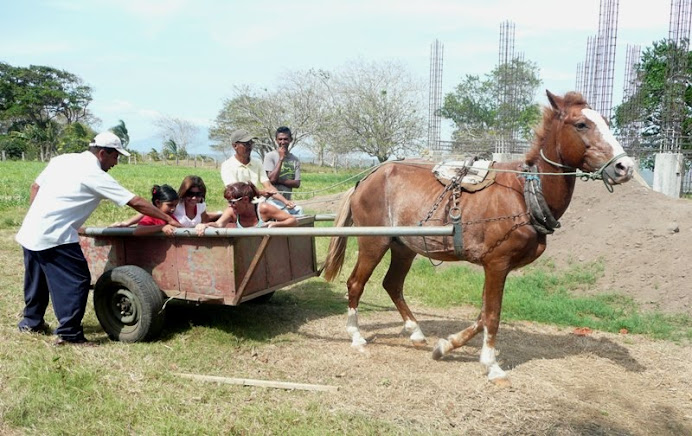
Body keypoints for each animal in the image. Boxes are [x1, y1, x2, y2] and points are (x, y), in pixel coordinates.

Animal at [322, 91, 636, 384]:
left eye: (606, 122)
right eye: (581, 124)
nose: (626, 167)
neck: (525, 194)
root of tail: (366, 179)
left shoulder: (494, 267)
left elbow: (483, 314)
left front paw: (446, 346)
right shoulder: (497, 264)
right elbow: (492, 315)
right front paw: (491, 365)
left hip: (404, 247)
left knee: (392, 284)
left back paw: (415, 331)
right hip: (374, 243)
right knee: (355, 283)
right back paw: (356, 336)